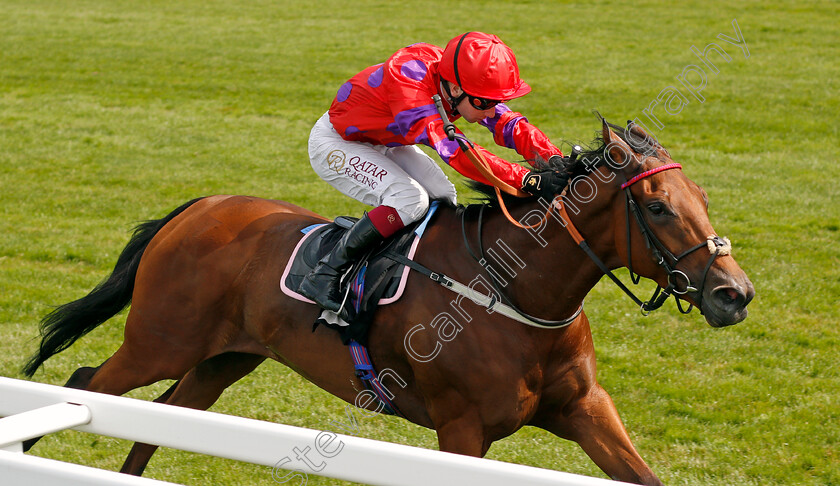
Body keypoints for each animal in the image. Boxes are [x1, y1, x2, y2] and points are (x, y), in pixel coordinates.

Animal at [21, 119, 756, 484]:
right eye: (658, 208)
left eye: (702, 197)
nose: (735, 294)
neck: (513, 293)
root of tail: (198, 208)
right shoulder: (462, 431)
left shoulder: (584, 410)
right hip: (160, 342)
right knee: (85, 384)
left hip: (223, 358)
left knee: (162, 418)